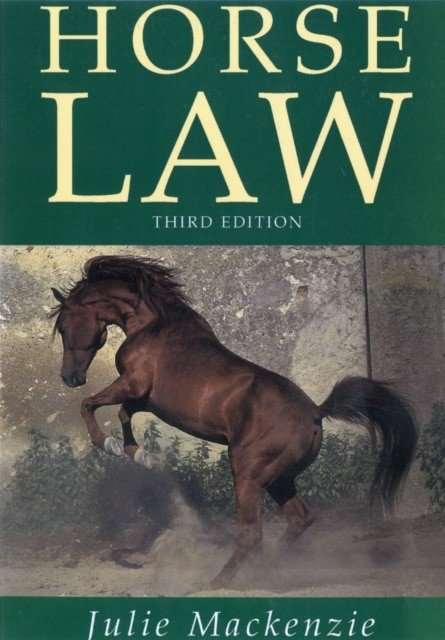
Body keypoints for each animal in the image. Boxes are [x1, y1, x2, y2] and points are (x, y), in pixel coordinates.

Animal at [50, 255, 418, 588]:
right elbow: (123, 412)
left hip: (248, 474)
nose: (69, 377)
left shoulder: (133, 384)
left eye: (64, 327)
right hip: (279, 479)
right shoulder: (144, 397)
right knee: (300, 519)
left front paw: (108, 444)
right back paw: (266, 572)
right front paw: (138, 454)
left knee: (253, 531)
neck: (153, 326)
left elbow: (89, 405)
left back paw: (219, 581)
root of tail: (316, 411)